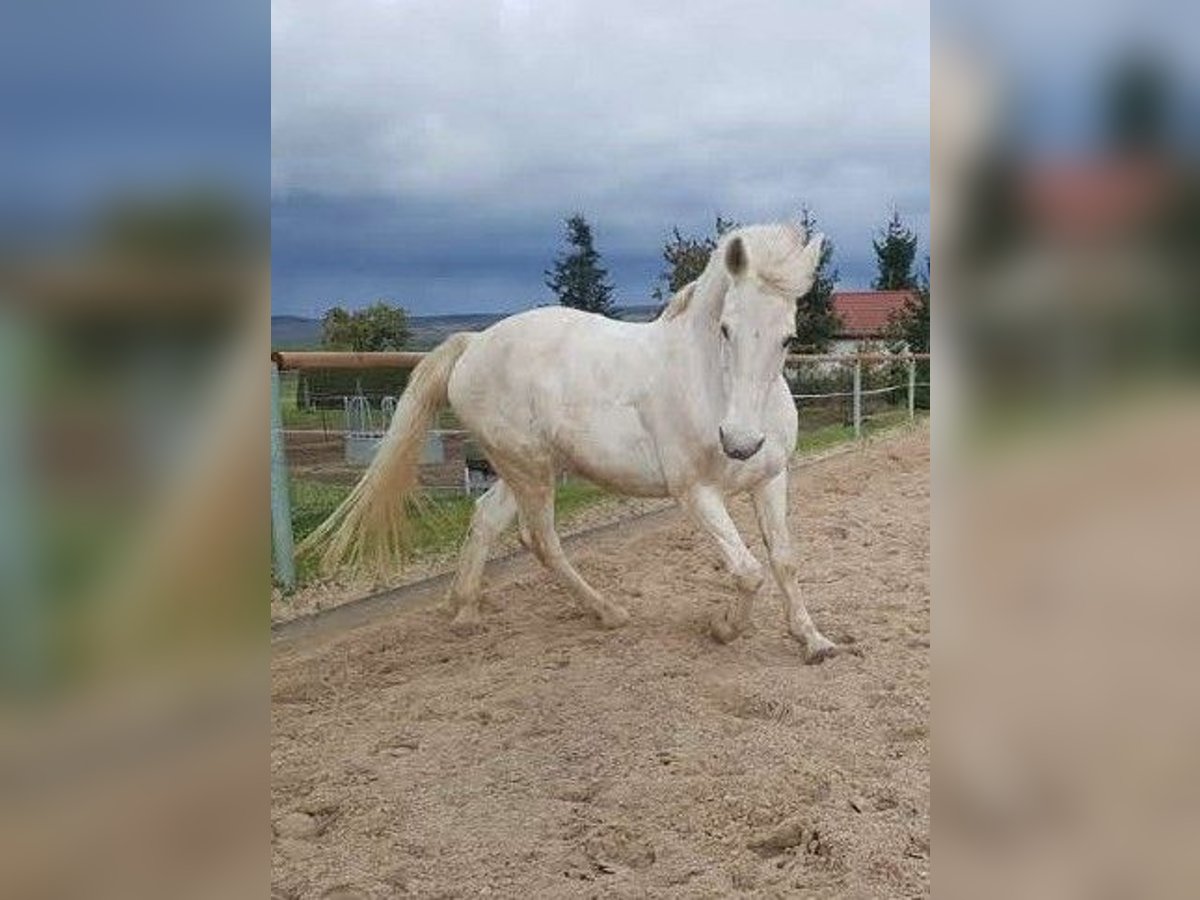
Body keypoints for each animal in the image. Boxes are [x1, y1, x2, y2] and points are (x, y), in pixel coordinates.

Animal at [300, 224, 844, 662]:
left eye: (789, 337)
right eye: (726, 329)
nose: (739, 442)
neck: (708, 383)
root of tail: (475, 344)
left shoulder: (770, 479)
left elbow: (784, 560)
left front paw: (813, 641)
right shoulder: (695, 493)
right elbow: (748, 570)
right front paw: (723, 629)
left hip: (526, 466)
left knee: (486, 519)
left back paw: (465, 612)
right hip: (531, 470)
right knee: (540, 539)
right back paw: (607, 612)